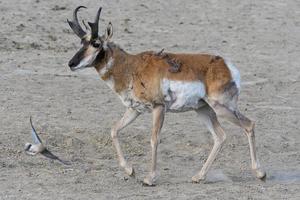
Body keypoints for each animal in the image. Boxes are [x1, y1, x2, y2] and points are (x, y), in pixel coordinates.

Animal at [67, 5, 264, 185]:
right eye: (81, 43)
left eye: (96, 43)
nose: (71, 63)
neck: (131, 67)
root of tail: (226, 65)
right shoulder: (135, 110)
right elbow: (114, 129)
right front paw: (130, 171)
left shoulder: (158, 108)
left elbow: (154, 139)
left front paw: (149, 178)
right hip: (203, 110)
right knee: (220, 136)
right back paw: (198, 177)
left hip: (221, 108)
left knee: (249, 125)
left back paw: (260, 173)